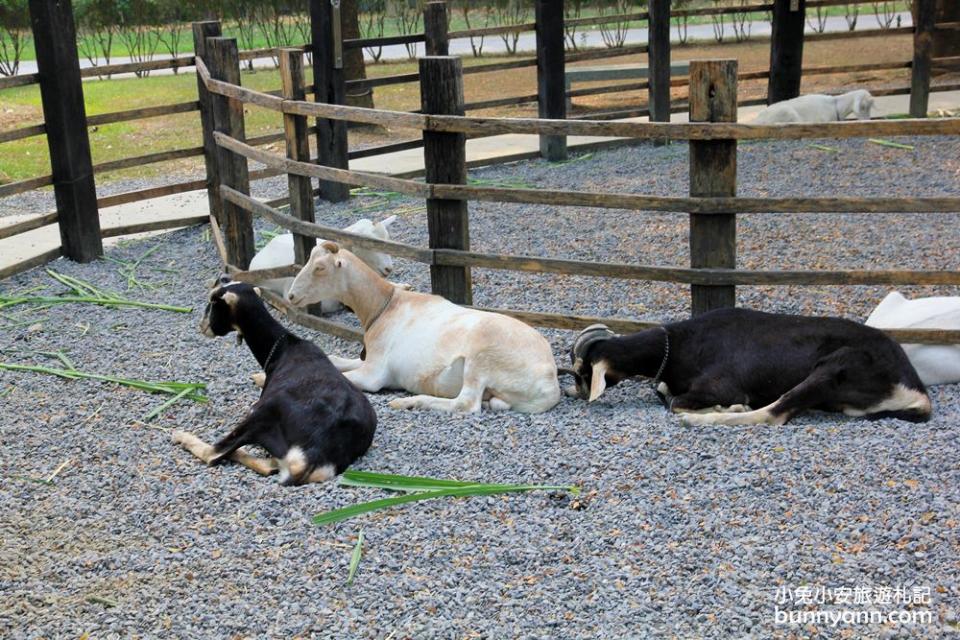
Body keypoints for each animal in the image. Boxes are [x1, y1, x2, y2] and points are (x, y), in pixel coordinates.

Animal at [172, 276, 376, 484]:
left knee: (215, 453)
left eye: (213, 302)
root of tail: (311, 457)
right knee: (268, 466)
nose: (202, 326)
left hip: (263, 412)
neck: (283, 347)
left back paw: (181, 435)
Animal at [284, 241, 564, 416]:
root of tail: (550, 381)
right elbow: (334, 360)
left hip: (482, 358)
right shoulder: (367, 359)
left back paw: (407, 401)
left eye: (320, 267)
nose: (291, 295)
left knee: (466, 404)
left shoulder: (374, 373)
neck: (385, 306)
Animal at [568, 308, 932, 428]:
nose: (577, 392)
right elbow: (664, 392)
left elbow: (674, 401)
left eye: (584, 372)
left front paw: (724, 407)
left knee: (774, 413)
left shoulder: (720, 385)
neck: (680, 344)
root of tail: (917, 392)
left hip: (835, 366)